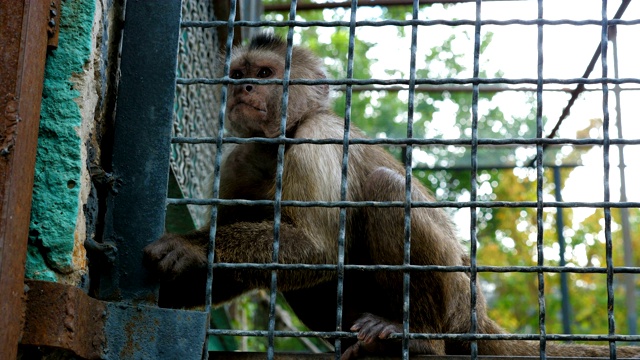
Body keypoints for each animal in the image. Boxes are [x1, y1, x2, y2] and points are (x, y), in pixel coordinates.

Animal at [144, 32, 640, 358]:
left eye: (265, 74)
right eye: (239, 75)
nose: (245, 87)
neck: (277, 145)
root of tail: (478, 317)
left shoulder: (319, 135)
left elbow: (317, 248)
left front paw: (190, 247)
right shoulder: (240, 160)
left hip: (457, 302)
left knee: (384, 190)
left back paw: (415, 334)